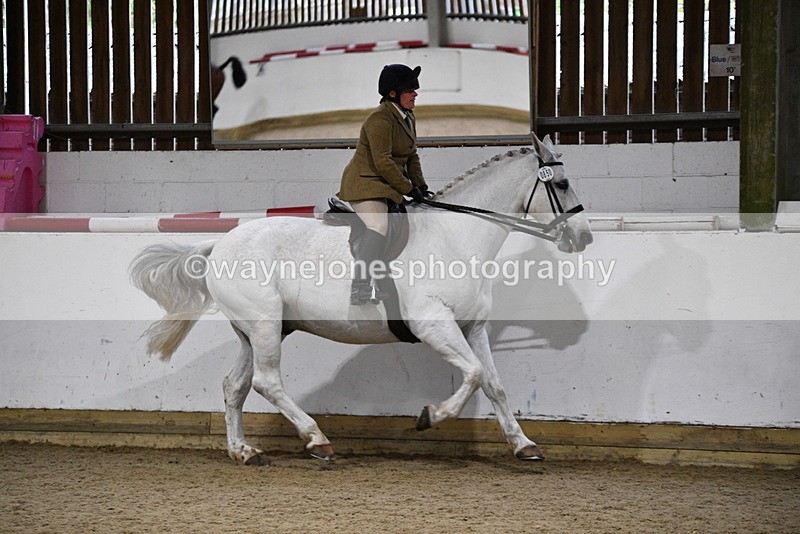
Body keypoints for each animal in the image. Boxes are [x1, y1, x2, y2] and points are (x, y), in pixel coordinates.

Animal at [129, 134, 593, 465]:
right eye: (563, 183)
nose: (584, 237)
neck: (456, 237)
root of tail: (221, 244)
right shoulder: (432, 324)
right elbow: (475, 374)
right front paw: (431, 416)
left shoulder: (472, 327)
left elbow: (494, 384)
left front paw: (523, 444)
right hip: (264, 324)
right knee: (266, 381)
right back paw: (317, 440)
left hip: (256, 330)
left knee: (235, 385)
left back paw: (243, 451)